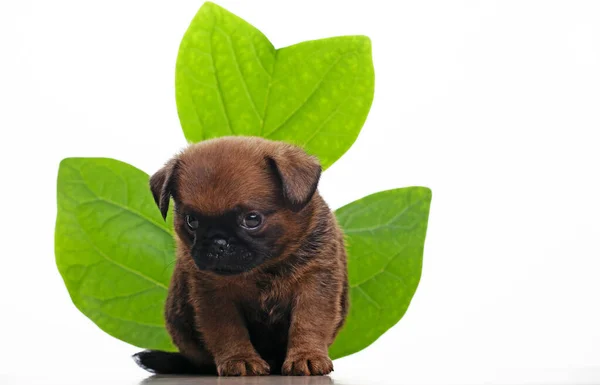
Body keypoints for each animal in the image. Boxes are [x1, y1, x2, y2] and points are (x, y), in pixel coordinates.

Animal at [131, 136, 346, 376]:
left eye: (252, 219)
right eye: (191, 221)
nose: (218, 243)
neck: (265, 268)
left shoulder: (315, 284)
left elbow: (309, 323)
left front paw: (306, 355)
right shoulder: (215, 297)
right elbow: (228, 331)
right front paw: (240, 359)